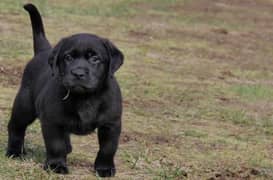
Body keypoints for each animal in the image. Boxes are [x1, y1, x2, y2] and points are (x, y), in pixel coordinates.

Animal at [6, 3, 123, 177]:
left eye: (95, 59)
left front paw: (104, 169)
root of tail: (43, 51)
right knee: (16, 127)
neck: (85, 97)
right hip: (24, 105)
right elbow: (56, 145)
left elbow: (108, 149)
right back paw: (14, 152)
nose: (78, 73)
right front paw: (56, 166)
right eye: (68, 57)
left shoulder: (111, 124)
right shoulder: (52, 121)